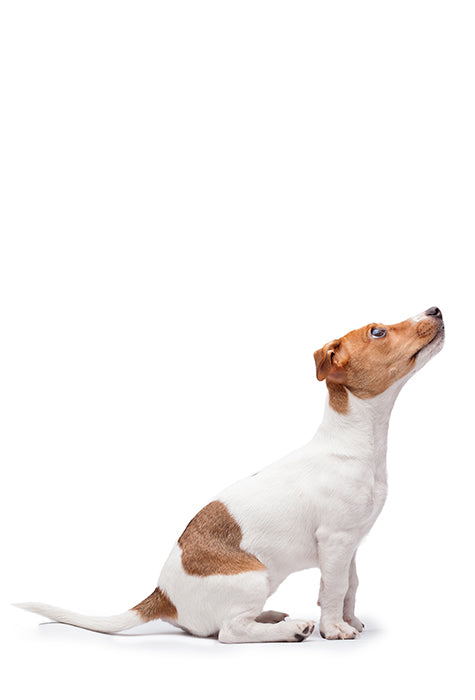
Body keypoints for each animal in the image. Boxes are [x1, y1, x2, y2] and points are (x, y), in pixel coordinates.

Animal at [15, 308, 446, 644]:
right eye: (378, 332)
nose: (435, 309)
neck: (355, 442)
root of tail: (162, 596)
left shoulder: (351, 544)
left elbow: (349, 587)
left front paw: (347, 619)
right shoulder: (336, 541)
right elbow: (334, 588)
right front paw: (334, 628)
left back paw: (272, 617)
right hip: (254, 577)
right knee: (229, 631)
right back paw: (290, 629)